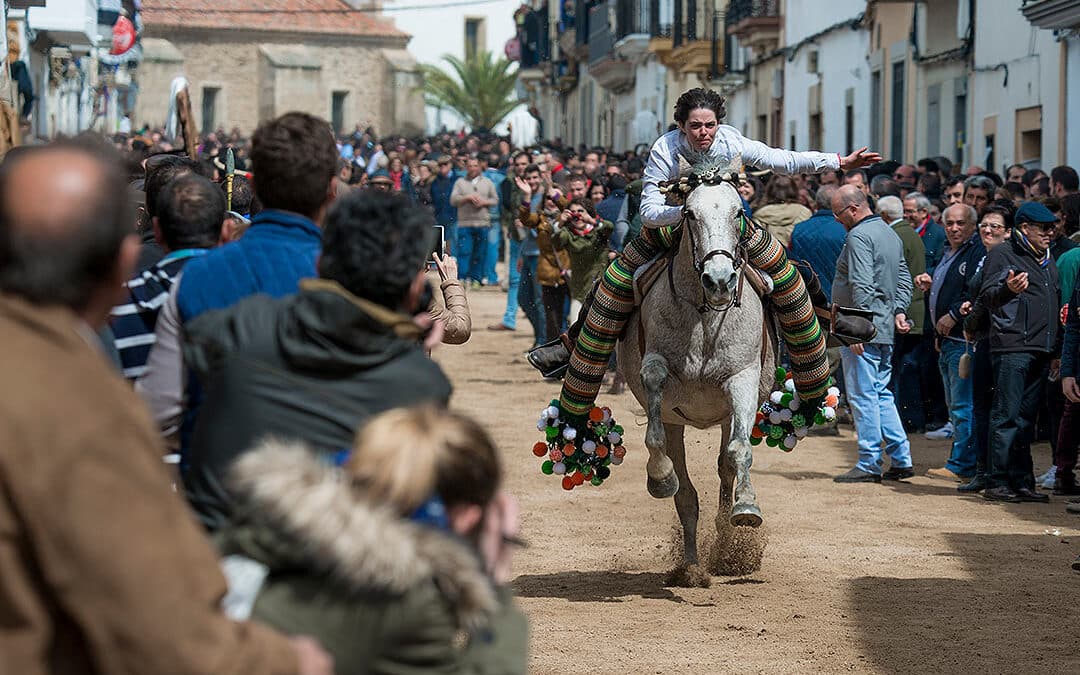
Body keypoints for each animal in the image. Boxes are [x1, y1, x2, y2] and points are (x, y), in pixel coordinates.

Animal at [617, 155, 777, 583]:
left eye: (739, 212)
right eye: (689, 214)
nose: (719, 279)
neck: (705, 314)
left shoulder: (742, 380)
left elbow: (739, 451)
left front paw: (747, 508)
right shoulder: (658, 375)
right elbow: (656, 432)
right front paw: (660, 477)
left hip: (726, 415)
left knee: (725, 468)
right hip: (680, 423)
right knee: (686, 495)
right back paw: (690, 565)